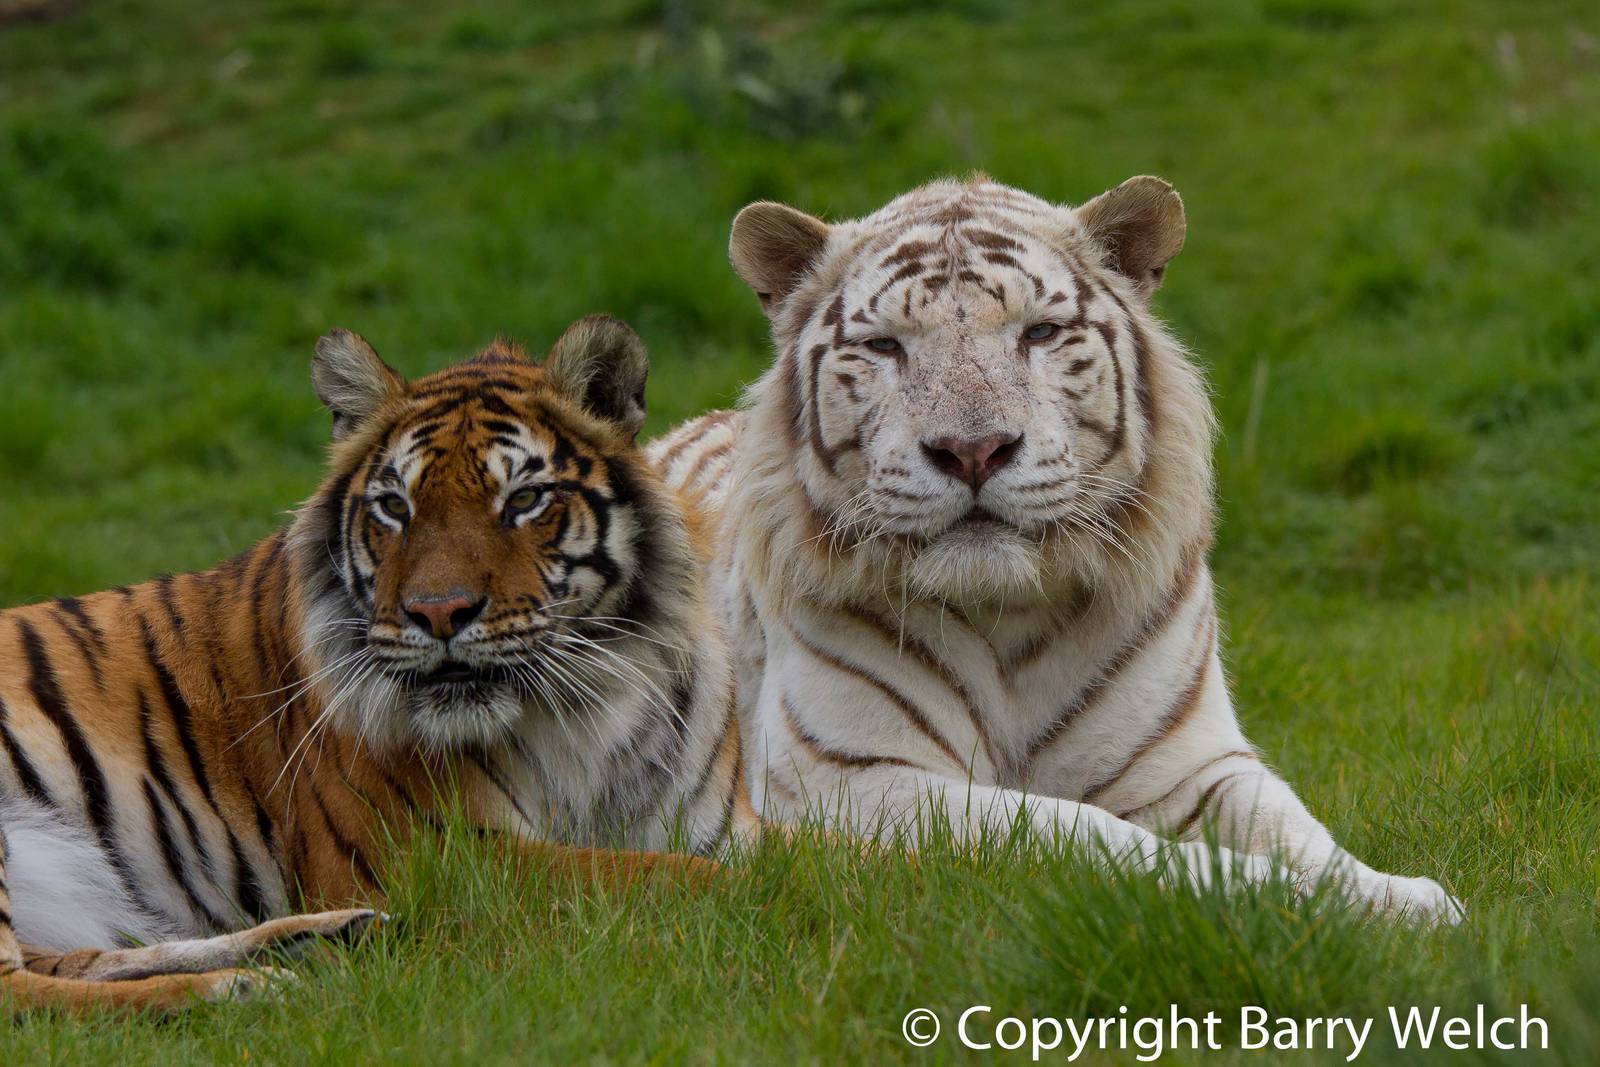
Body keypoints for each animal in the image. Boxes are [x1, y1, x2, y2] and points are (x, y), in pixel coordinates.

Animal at [0, 314, 754, 1014]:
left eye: (523, 499)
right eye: (396, 506)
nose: (440, 613)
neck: (592, 704)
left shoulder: (720, 824)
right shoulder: (437, 853)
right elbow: (664, 872)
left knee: (78, 956)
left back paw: (321, 938)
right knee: (24, 994)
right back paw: (248, 986)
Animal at [651, 175, 1463, 922]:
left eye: (1039, 333)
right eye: (885, 346)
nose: (972, 449)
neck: (1006, 611)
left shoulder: (1191, 764)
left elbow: (1298, 828)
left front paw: (1402, 900)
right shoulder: (853, 777)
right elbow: (1082, 831)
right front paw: (1268, 895)